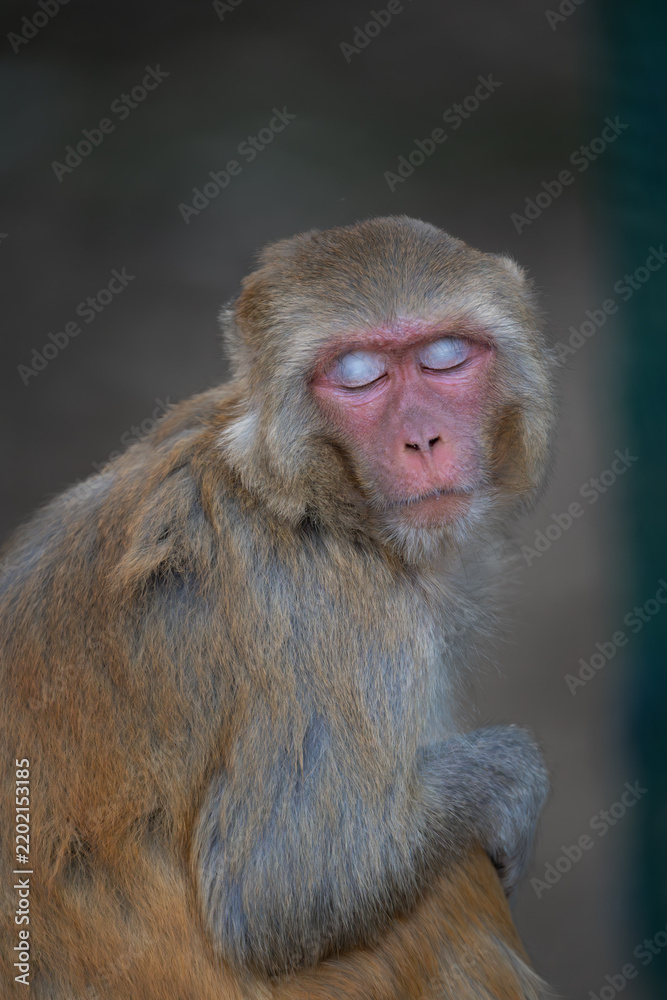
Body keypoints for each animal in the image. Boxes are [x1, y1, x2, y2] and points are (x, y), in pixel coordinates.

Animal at [0, 216, 555, 999]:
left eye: (445, 361)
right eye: (359, 377)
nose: (423, 441)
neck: (300, 496)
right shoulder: (337, 609)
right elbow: (281, 892)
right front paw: (511, 780)